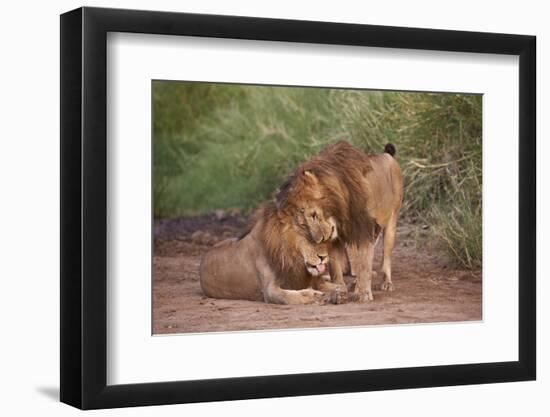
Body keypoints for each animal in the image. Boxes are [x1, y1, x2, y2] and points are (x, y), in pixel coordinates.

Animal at [201, 201, 342, 302]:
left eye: (324, 238)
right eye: (308, 238)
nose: (323, 257)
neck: (289, 254)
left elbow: (336, 287)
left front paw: (338, 292)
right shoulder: (270, 291)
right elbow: (290, 297)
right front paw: (313, 295)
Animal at [278, 141, 404, 300]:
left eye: (313, 214)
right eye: (302, 224)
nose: (319, 240)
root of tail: (387, 155)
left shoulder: (363, 227)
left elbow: (364, 262)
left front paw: (363, 293)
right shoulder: (336, 238)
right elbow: (336, 266)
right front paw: (339, 289)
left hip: (392, 220)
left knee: (385, 256)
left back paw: (386, 283)